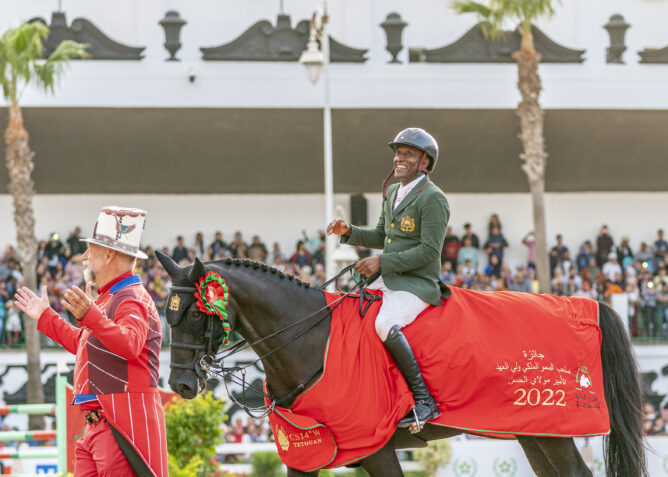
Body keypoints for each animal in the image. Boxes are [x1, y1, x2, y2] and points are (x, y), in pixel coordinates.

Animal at [157, 255, 648, 476]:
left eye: (196, 313)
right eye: (166, 311)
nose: (181, 385)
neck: (312, 338)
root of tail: (585, 305)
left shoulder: (376, 448)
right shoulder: (306, 453)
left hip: (554, 432)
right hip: (534, 431)